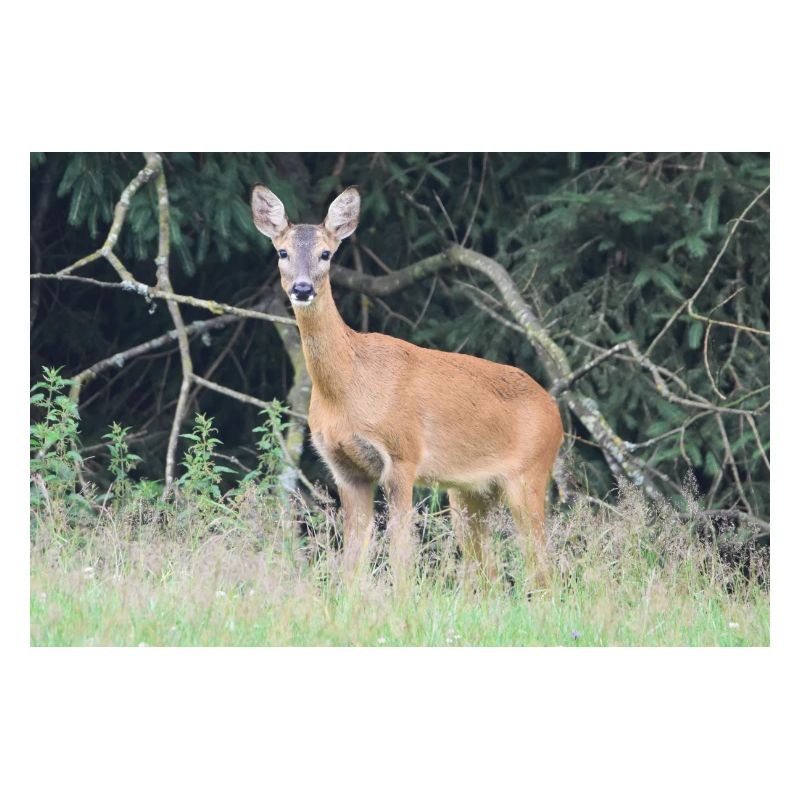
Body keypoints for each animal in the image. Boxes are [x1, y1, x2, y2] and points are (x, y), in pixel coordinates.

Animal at [251, 185, 563, 587]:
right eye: (282, 252)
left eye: (326, 253)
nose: (302, 288)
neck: (348, 391)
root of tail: (555, 412)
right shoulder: (345, 469)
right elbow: (353, 558)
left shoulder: (402, 454)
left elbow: (402, 554)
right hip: (469, 492)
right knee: (488, 571)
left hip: (529, 474)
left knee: (541, 568)